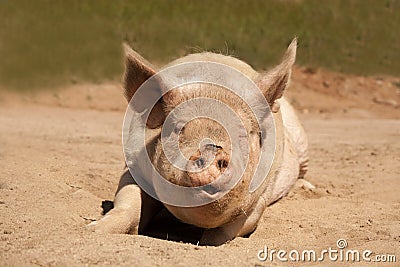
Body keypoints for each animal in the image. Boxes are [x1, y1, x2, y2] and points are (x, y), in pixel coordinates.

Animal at [89, 38, 310, 246]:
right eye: (178, 127)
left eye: (244, 134)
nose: (211, 149)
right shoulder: (133, 165)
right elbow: (127, 204)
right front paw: (92, 230)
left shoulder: (262, 195)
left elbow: (226, 233)